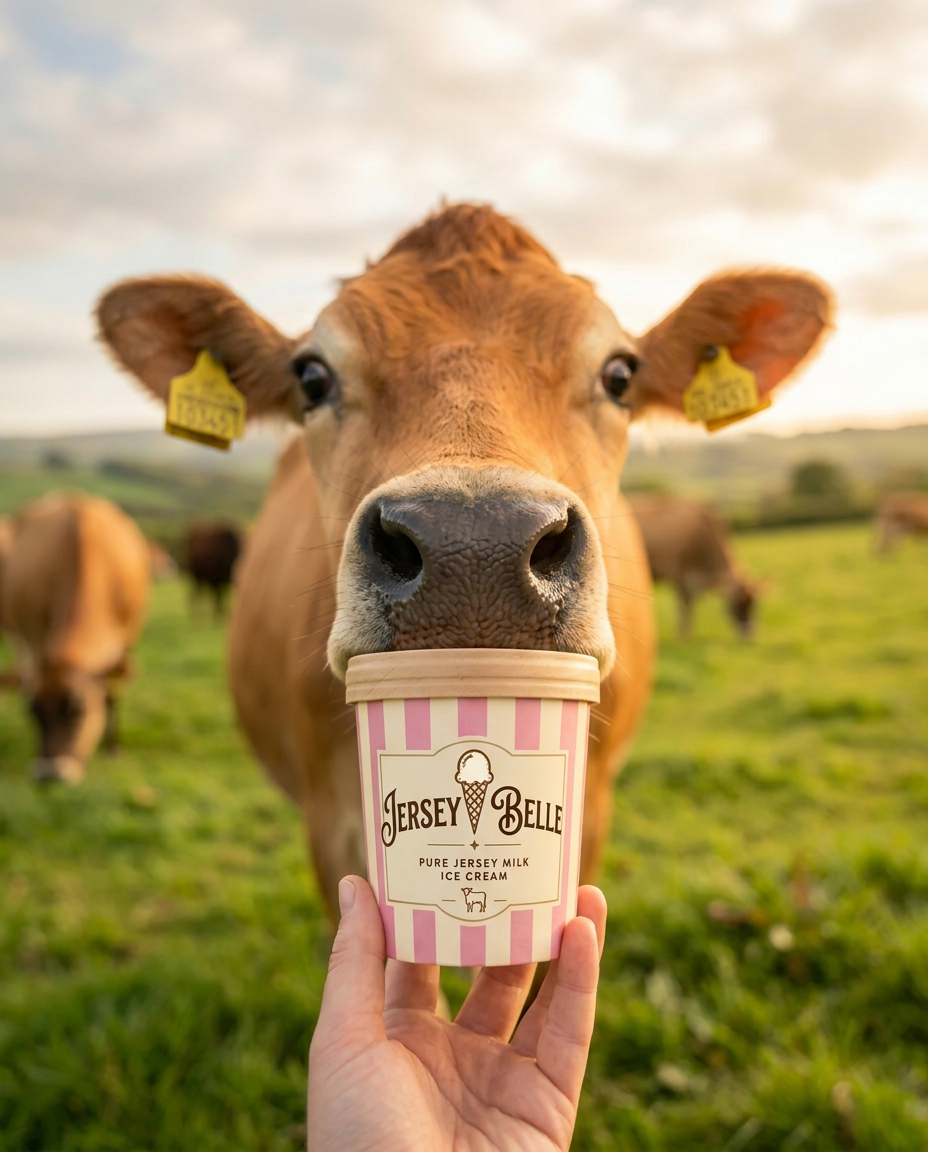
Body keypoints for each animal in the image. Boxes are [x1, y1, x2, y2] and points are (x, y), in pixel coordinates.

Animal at [1, 494, 150, 783]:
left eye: (78, 710)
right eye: (33, 711)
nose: (49, 775)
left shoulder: (127, 637)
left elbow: (112, 694)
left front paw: (113, 748)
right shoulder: (36, 636)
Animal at [629, 494, 759, 639]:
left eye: (754, 605)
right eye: (737, 603)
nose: (749, 635)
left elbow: (689, 605)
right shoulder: (680, 575)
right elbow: (684, 605)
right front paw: (683, 634)